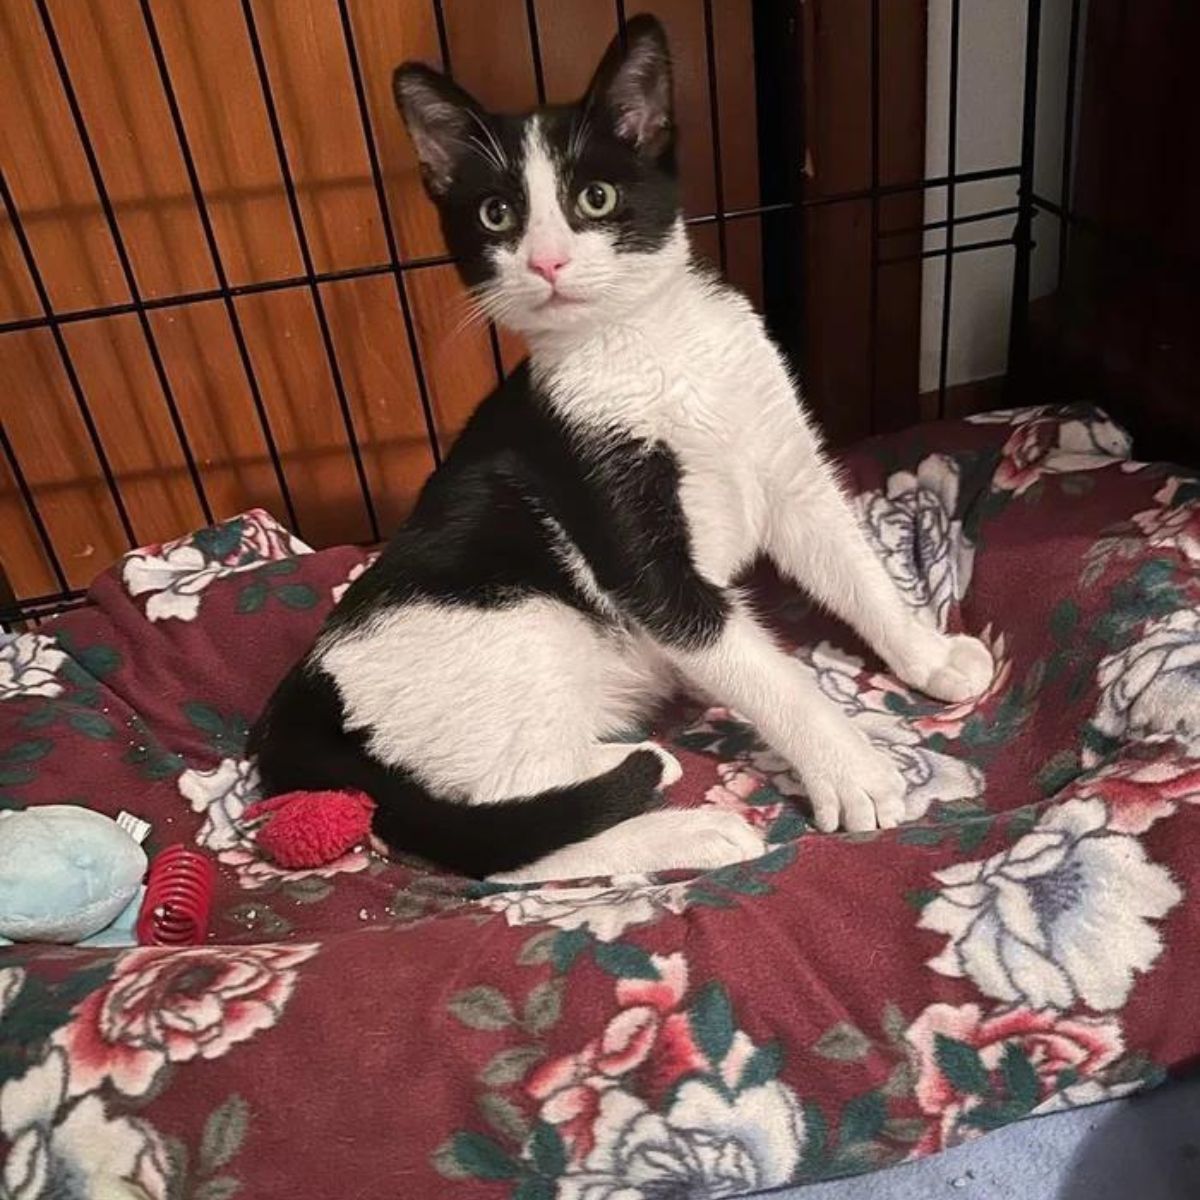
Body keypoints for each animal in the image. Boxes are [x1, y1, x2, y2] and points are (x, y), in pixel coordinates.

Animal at [246, 16, 993, 883]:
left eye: (593, 198)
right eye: (497, 215)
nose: (547, 261)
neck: (650, 345)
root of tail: (297, 714)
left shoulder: (789, 470)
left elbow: (856, 569)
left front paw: (927, 655)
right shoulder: (627, 536)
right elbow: (758, 664)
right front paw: (850, 768)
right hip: (517, 620)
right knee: (505, 839)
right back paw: (690, 822)